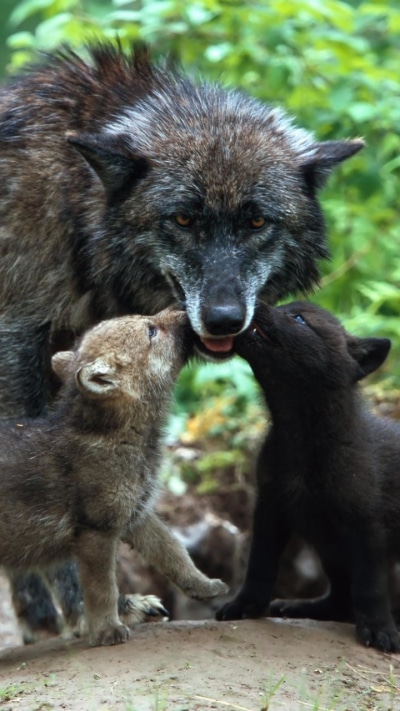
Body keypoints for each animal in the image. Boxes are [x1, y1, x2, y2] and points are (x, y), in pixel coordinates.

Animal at [0, 308, 228, 646]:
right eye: (151, 331)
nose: (182, 310)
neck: (117, 436)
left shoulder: (137, 514)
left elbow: (175, 553)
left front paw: (205, 585)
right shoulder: (96, 532)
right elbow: (102, 589)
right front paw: (108, 630)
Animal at [217, 301, 400, 653]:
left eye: (299, 319)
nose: (256, 303)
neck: (301, 438)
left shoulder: (367, 524)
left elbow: (371, 587)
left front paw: (379, 629)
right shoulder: (270, 508)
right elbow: (259, 565)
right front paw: (245, 606)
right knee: (340, 599)